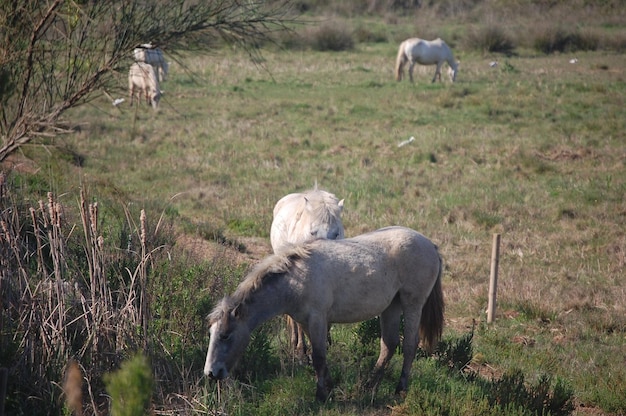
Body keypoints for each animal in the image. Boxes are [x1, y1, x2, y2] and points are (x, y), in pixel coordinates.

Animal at [205, 226, 444, 402]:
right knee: (389, 345)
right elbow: (316, 354)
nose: (211, 373)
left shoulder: (318, 319)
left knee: (409, 345)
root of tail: (430, 245)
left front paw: (321, 395)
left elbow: (319, 356)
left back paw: (400, 389)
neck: (295, 279)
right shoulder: (305, 322)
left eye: (225, 335)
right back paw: (370, 385)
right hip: (391, 307)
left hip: (412, 304)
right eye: (211, 334)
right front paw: (329, 386)